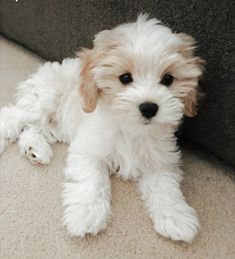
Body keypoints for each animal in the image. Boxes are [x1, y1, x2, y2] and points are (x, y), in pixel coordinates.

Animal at [0, 14, 204, 243]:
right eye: (125, 78)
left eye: (168, 79)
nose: (149, 107)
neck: (131, 130)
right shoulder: (89, 150)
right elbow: (91, 181)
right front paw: (86, 214)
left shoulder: (160, 160)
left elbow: (165, 187)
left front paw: (176, 217)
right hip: (45, 101)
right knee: (13, 117)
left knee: (32, 129)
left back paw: (35, 149)